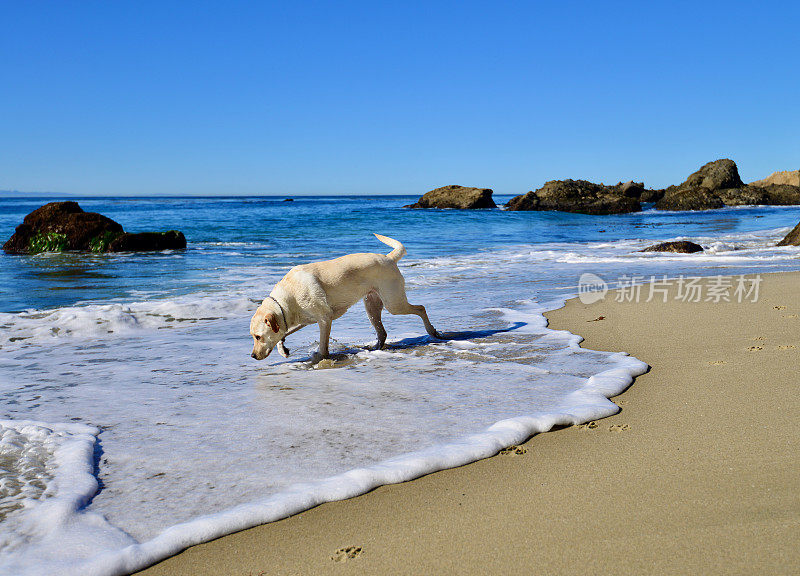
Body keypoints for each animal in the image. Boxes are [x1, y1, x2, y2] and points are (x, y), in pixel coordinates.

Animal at [250, 233, 440, 360]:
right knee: (382, 332)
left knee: (421, 308)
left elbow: (323, 345)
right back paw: (375, 348)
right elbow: (283, 334)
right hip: (371, 306)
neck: (287, 298)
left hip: (394, 303)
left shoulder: (325, 318)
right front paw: (283, 349)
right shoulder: (299, 320)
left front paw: (320, 358)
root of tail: (388, 258)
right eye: (253, 336)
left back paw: (432, 331)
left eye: (258, 337)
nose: (252, 356)